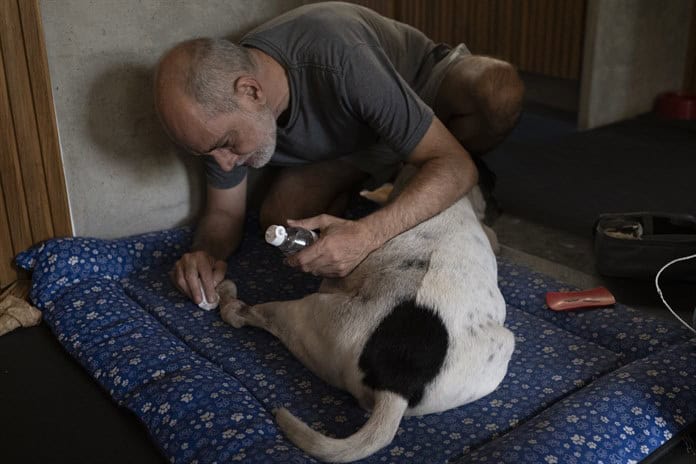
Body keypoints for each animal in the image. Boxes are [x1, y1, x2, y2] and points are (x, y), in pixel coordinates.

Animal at [220, 177, 512, 460]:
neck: (456, 205)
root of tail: (398, 383)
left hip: (308, 315)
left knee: (252, 315)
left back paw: (229, 300)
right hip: (503, 346)